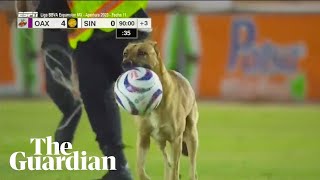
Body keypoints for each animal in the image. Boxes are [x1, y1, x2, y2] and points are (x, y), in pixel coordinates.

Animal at [121, 40, 199, 180]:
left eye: (142, 53)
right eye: (125, 53)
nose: (125, 63)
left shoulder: (176, 139)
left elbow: (175, 170)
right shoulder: (143, 137)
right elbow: (140, 169)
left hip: (191, 136)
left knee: (191, 166)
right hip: (160, 141)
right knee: (167, 160)